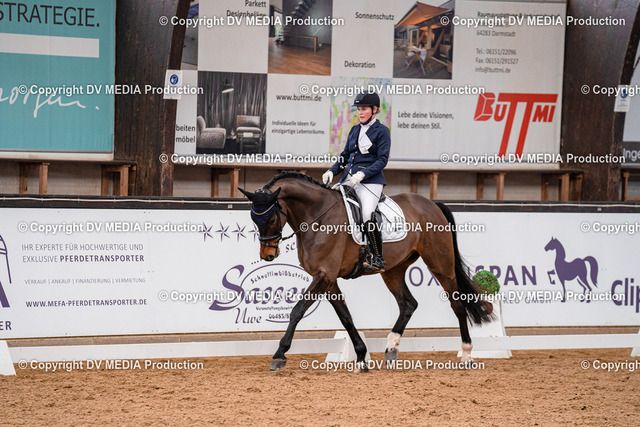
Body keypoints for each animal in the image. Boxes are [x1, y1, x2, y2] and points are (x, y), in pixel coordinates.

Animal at [239, 171, 494, 372]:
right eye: (254, 219)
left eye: (270, 218)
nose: (267, 255)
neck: (317, 216)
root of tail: (431, 204)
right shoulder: (329, 280)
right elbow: (345, 317)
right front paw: (361, 356)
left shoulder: (324, 275)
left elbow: (297, 310)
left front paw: (279, 354)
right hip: (392, 270)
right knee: (408, 304)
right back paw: (391, 348)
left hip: (441, 265)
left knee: (457, 304)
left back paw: (467, 354)